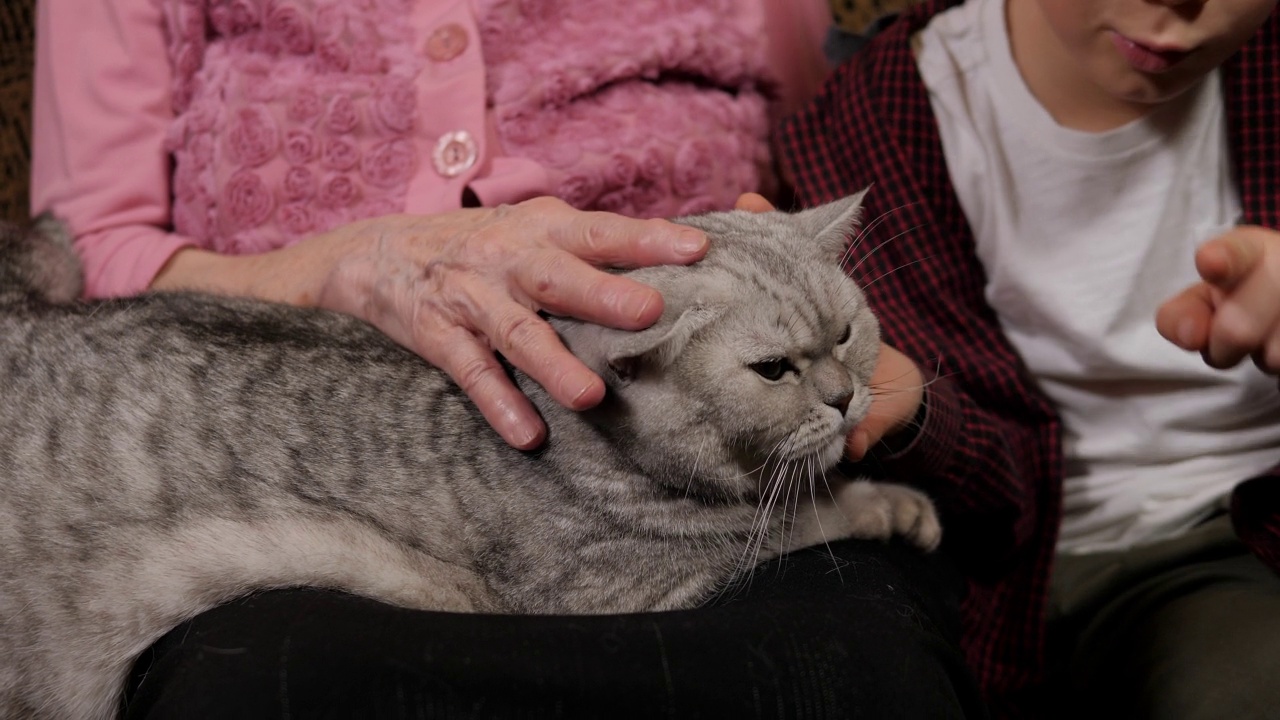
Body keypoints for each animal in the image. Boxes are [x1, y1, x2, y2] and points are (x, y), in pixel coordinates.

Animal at [0, 193, 942, 712]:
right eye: (775, 369)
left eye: (847, 334)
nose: (844, 397)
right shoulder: (632, 588)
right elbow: (793, 521)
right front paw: (882, 502)